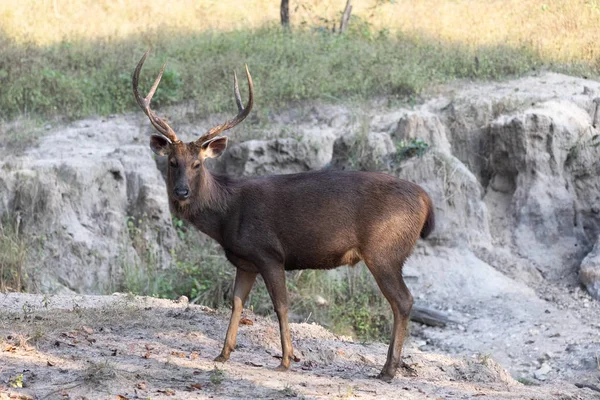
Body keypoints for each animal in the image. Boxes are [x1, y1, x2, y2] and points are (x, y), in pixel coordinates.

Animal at [131, 50, 434, 382]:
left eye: (198, 163)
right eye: (172, 162)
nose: (182, 192)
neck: (226, 215)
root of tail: (426, 199)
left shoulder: (269, 253)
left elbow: (281, 305)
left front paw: (287, 359)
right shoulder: (245, 261)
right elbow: (236, 302)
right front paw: (223, 353)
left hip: (384, 248)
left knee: (403, 300)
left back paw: (388, 369)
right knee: (401, 301)